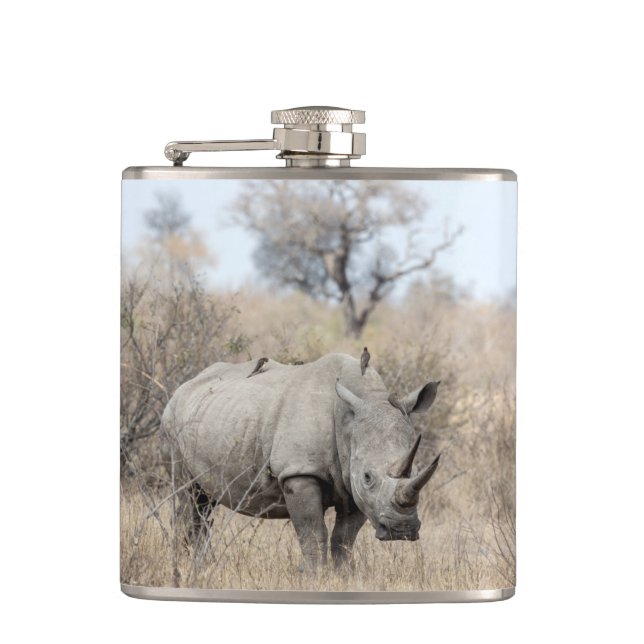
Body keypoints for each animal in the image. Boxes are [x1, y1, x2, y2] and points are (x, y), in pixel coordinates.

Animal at [161, 352, 441, 569]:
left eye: (415, 470)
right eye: (368, 477)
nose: (401, 531)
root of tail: (183, 387)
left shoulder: (352, 483)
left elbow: (344, 539)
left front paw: (343, 575)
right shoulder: (299, 472)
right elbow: (313, 532)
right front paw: (314, 575)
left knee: (204, 504)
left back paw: (200, 565)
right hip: (172, 422)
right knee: (189, 497)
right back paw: (188, 566)